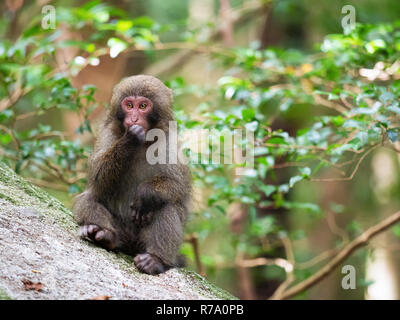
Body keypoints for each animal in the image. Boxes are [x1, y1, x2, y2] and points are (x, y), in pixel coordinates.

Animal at [74, 75, 192, 276]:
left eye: (143, 106)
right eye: (129, 105)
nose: (134, 118)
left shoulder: (168, 141)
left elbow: (179, 186)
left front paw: (145, 194)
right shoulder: (109, 134)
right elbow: (97, 178)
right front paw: (130, 139)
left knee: (165, 206)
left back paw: (155, 260)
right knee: (89, 198)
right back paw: (104, 235)